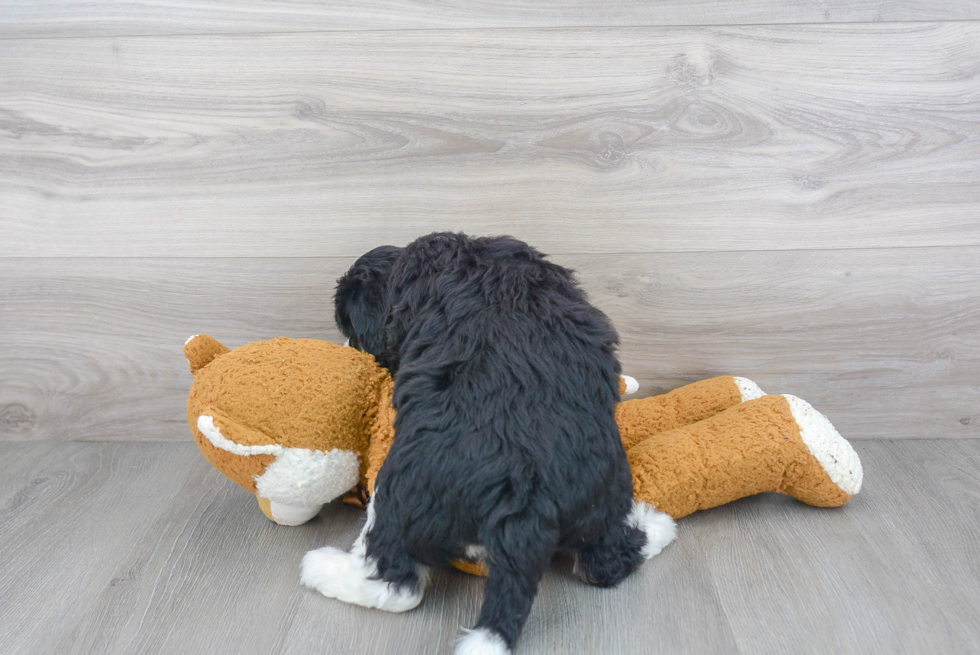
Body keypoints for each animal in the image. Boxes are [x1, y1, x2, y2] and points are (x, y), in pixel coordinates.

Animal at [304, 233, 672, 652]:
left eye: (350, 326)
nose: (348, 346)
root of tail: (527, 502)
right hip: (605, 498)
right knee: (607, 561)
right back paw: (657, 525)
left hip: (397, 496)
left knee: (394, 583)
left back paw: (322, 568)